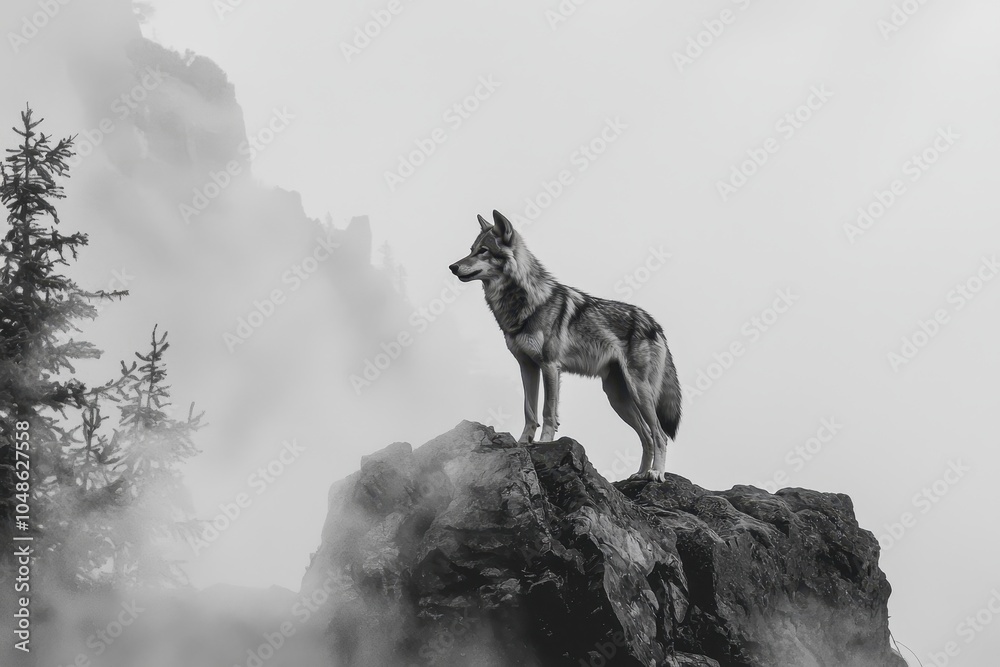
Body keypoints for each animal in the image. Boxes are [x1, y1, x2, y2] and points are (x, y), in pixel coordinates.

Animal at [449, 210, 682, 481]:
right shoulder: (527, 367)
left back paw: (656, 473)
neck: (525, 303)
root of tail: (655, 324)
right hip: (617, 397)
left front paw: (544, 442)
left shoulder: (550, 366)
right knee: (646, 436)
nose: (452, 267)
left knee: (659, 435)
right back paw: (638, 475)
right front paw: (523, 442)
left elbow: (548, 411)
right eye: (471, 249)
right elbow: (529, 410)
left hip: (639, 392)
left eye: (484, 251)